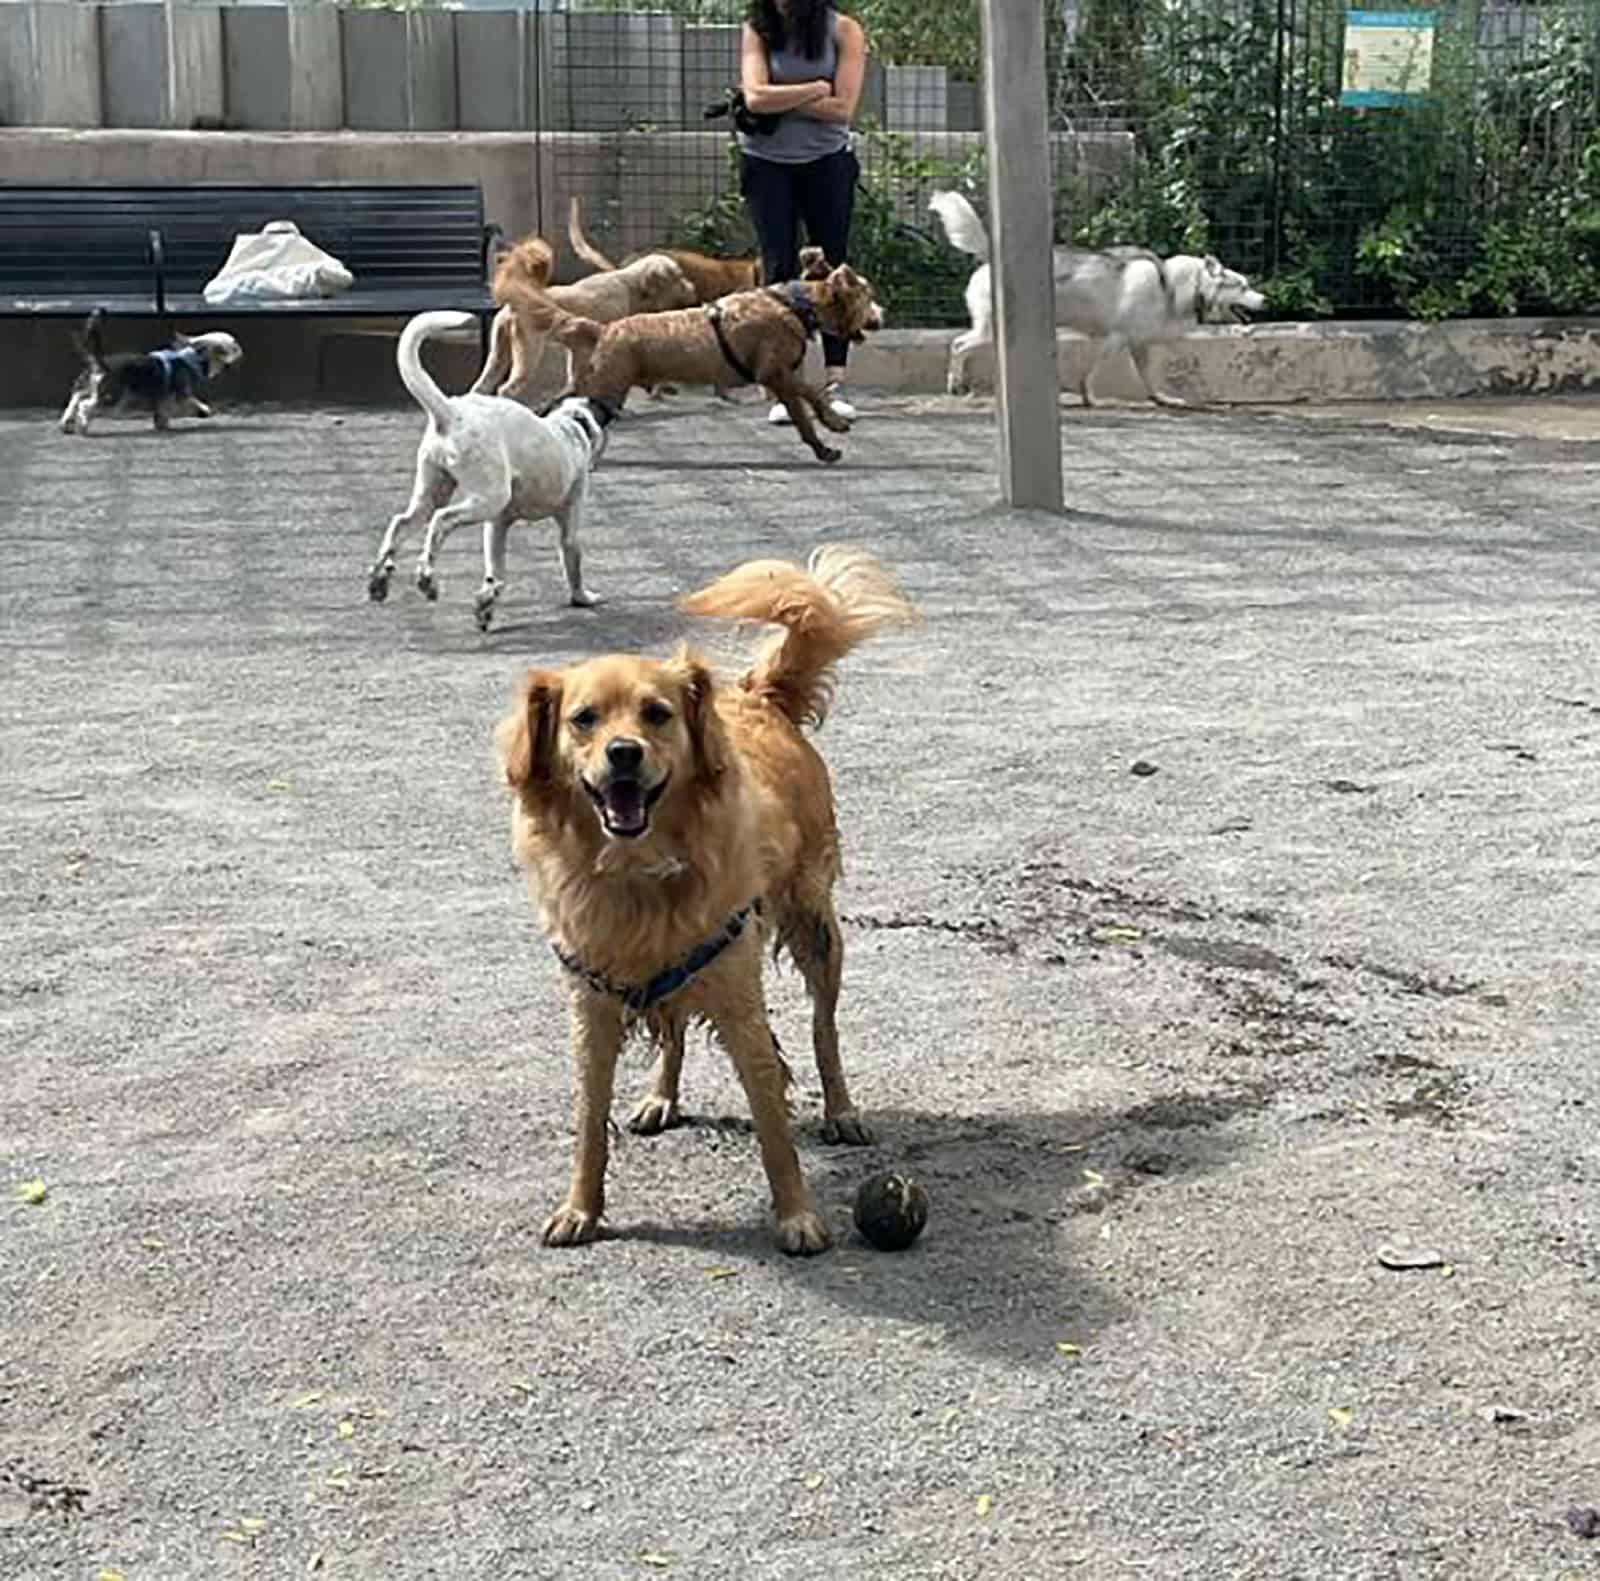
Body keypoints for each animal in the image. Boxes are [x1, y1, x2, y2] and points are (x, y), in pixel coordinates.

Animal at [59, 308, 241, 435]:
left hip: (87, 387)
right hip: (111, 396)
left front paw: (161, 425)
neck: (190, 358)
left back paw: (66, 424)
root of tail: (100, 363)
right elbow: (190, 402)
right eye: (232, 345)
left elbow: (160, 413)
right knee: (85, 406)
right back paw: (82, 426)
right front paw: (203, 410)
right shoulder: (178, 395)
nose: (239, 351)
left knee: (75, 400)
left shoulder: (161, 398)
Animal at [368, 308, 617, 630]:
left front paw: (487, 603)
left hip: (434, 488)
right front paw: (583, 598)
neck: (571, 424)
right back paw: (426, 578)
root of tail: (451, 413)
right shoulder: (569, 519)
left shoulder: (497, 525)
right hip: (489, 498)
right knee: (440, 521)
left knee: (403, 522)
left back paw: (379, 579)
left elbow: (496, 574)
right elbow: (572, 563)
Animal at [473, 238, 700, 408]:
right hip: (527, 355)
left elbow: (575, 378)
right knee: (506, 389)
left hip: (498, 353)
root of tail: (515, 303)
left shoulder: (577, 348)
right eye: (679, 277)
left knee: (481, 387)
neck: (630, 286)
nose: (693, 289)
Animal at [499, 550, 928, 1254]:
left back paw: (841, 1110)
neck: (639, 875)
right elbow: (590, 1122)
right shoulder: (591, 1008)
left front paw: (797, 1216)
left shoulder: (737, 997)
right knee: (672, 1031)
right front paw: (580, 1208)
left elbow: (774, 1124)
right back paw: (660, 1099)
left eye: (657, 713)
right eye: (583, 718)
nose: (624, 753)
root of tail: (760, 694)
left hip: (815, 927)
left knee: (824, 1030)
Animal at [928, 190, 1260, 404]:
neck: (1177, 286)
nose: (1265, 299)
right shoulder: (1115, 340)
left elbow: (1148, 377)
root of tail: (993, 258)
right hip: (988, 331)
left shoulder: (1139, 345)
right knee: (958, 345)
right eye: (1242, 286)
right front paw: (1088, 396)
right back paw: (955, 383)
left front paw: (1161, 398)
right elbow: (1091, 372)